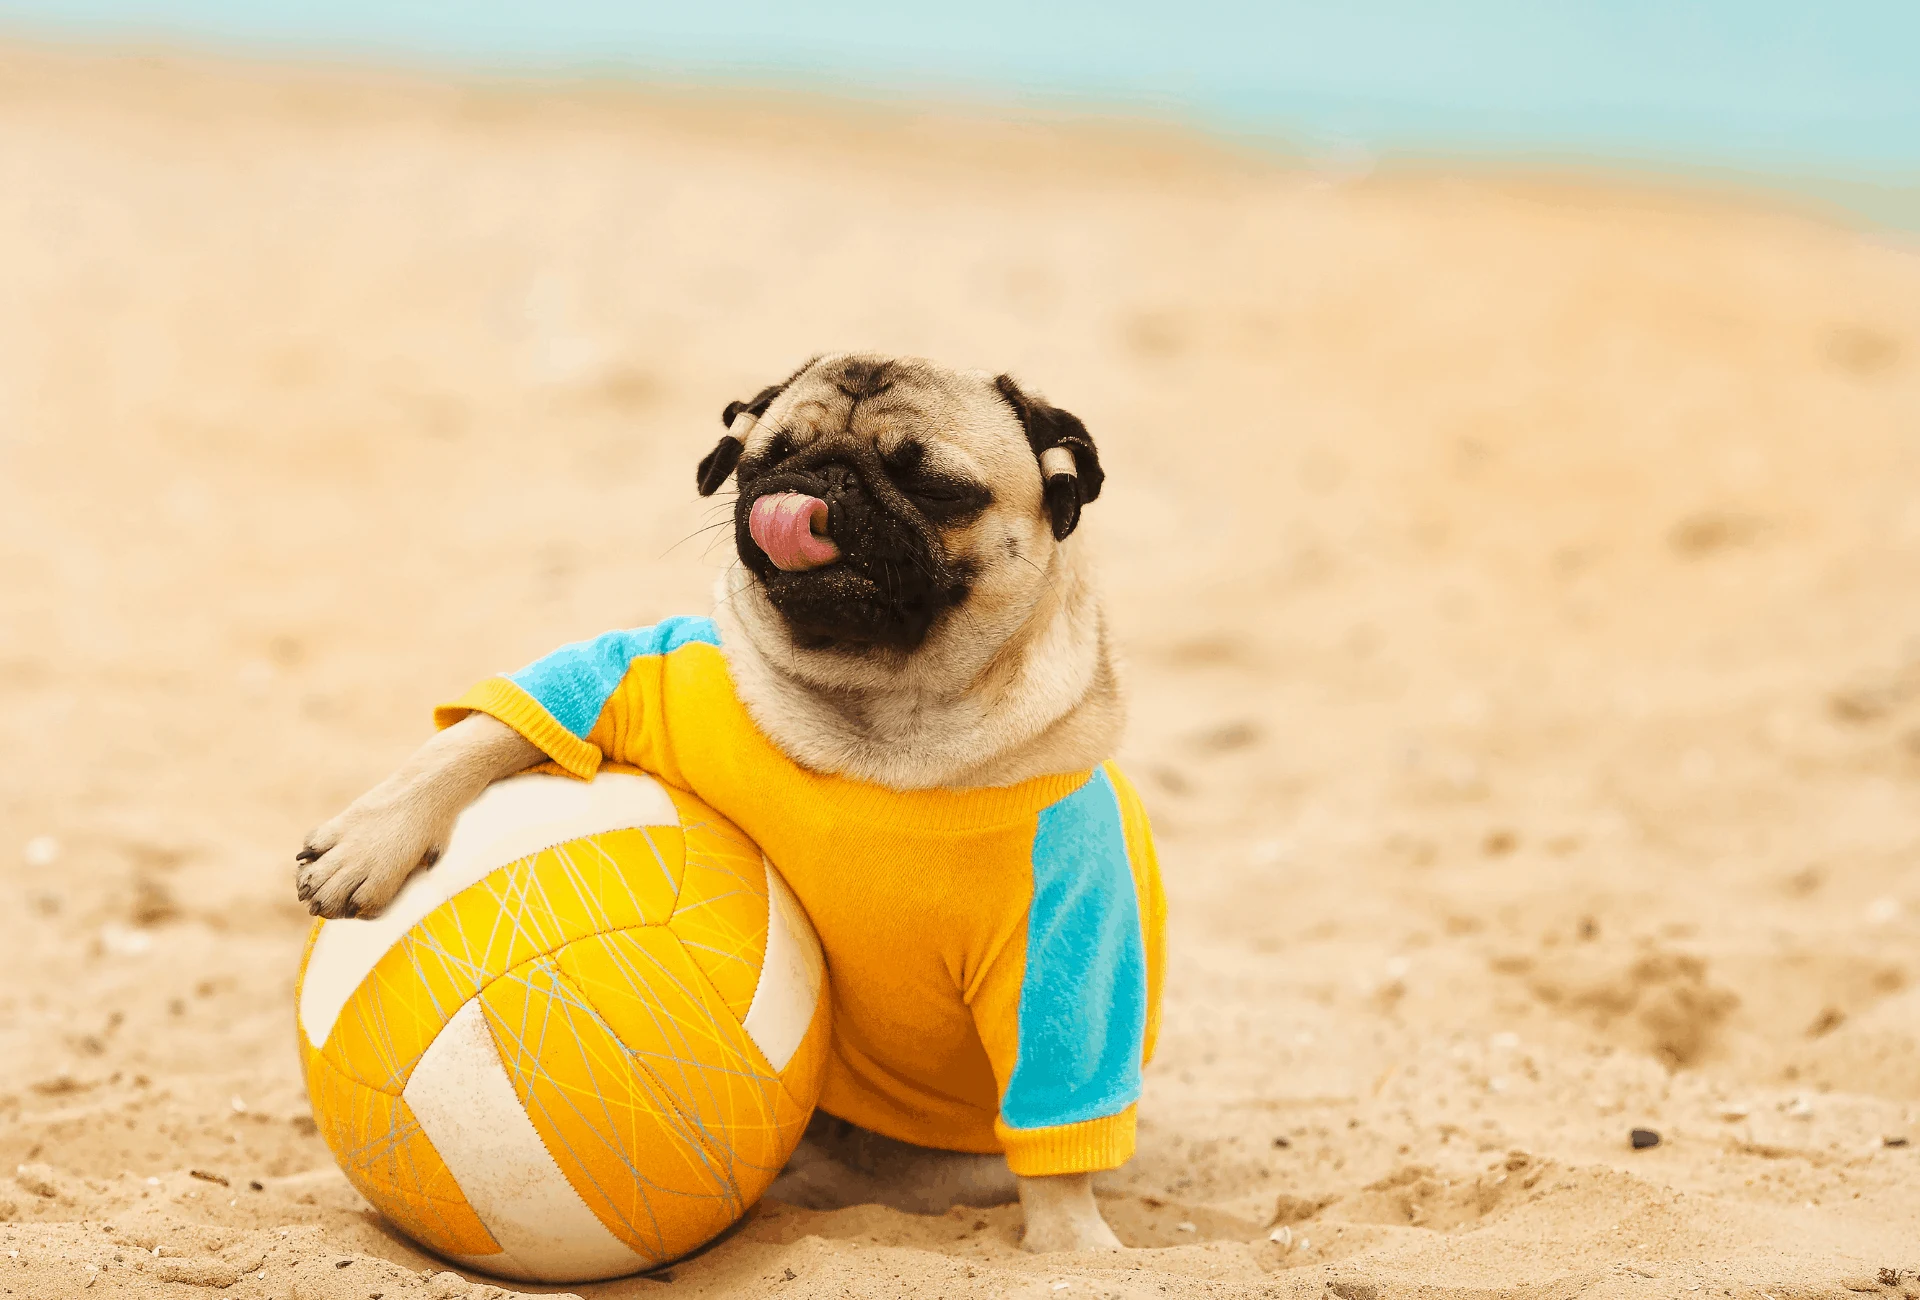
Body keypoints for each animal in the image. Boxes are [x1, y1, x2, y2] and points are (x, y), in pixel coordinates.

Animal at [291, 355, 1144, 1259]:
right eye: (765, 459)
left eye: (936, 486)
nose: (823, 479)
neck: (881, 717)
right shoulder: (648, 676)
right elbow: (493, 728)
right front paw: (370, 841)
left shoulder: (1064, 931)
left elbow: (1059, 1101)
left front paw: (1072, 1243)